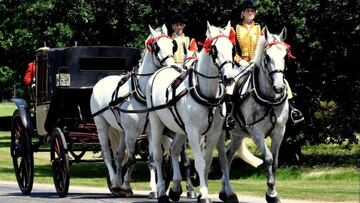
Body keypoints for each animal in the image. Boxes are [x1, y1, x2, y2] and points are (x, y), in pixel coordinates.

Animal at [90, 23, 177, 197]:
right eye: (156, 47)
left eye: (172, 45)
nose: (172, 66)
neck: (141, 93)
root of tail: (101, 81)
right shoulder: (131, 132)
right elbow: (131, 160)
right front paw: (126, 187)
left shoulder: (150, 130)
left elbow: (151, 158)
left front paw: (153, 189)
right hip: (101, 125)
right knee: (107, 154)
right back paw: (115, 183)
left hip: (121, 130)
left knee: (118, 156)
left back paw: (116, 183)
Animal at [146, 21, 236, 202]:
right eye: (214, 49)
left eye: (231, 48)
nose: (229, 78)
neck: (205, 93)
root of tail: (159, 71)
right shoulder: (194, 131)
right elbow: (200, 162)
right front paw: (205, 195)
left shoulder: (214, 131)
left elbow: (207, 161)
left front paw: (202, 192)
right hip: (156, 122)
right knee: (158, 156)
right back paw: (160, 192)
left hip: (181, 129)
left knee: (173, 150)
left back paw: (175, 189)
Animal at [218, 27, 292, 203]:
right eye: (267, 57)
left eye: (285, 56)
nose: (279, 87)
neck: (269, 99)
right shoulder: (256, 133)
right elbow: (268, 158)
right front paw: (271, 193)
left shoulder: (279, 131)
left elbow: (275, 161)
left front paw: (273, 191)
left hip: (237, 134)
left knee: (228, 155)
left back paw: (225, 192)